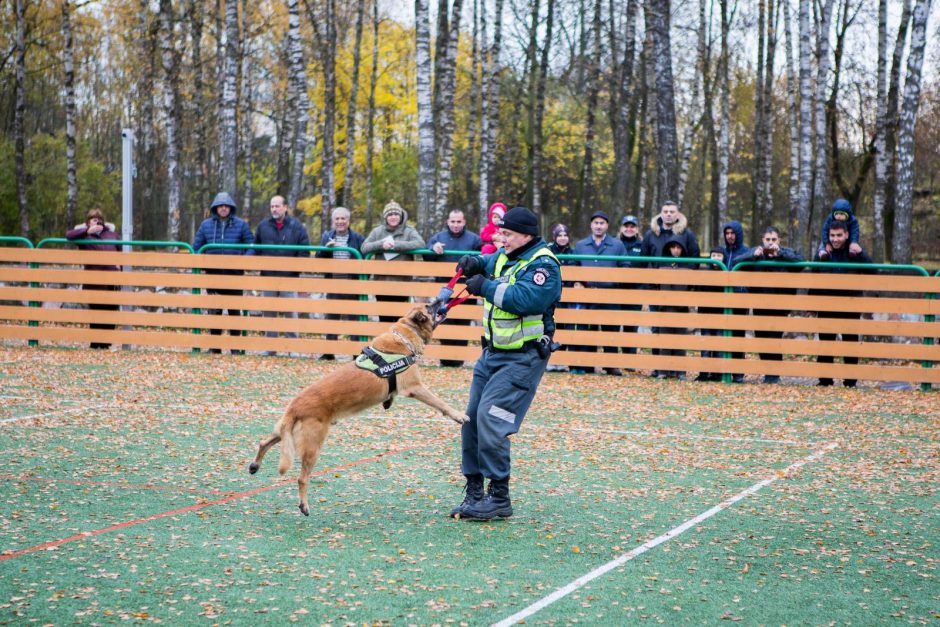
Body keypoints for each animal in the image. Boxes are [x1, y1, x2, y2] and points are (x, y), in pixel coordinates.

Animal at [250, 302, 470, 516]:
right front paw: (459, 416)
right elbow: (441, 403)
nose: (443, 302)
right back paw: (304, 505)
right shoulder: (415, 387)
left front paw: (388, 402)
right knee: (302, 478)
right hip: (313, 445)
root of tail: (295, 406)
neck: (405, 333)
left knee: (264, 442)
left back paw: (255, 465)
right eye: (431, 307)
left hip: (287, 432)